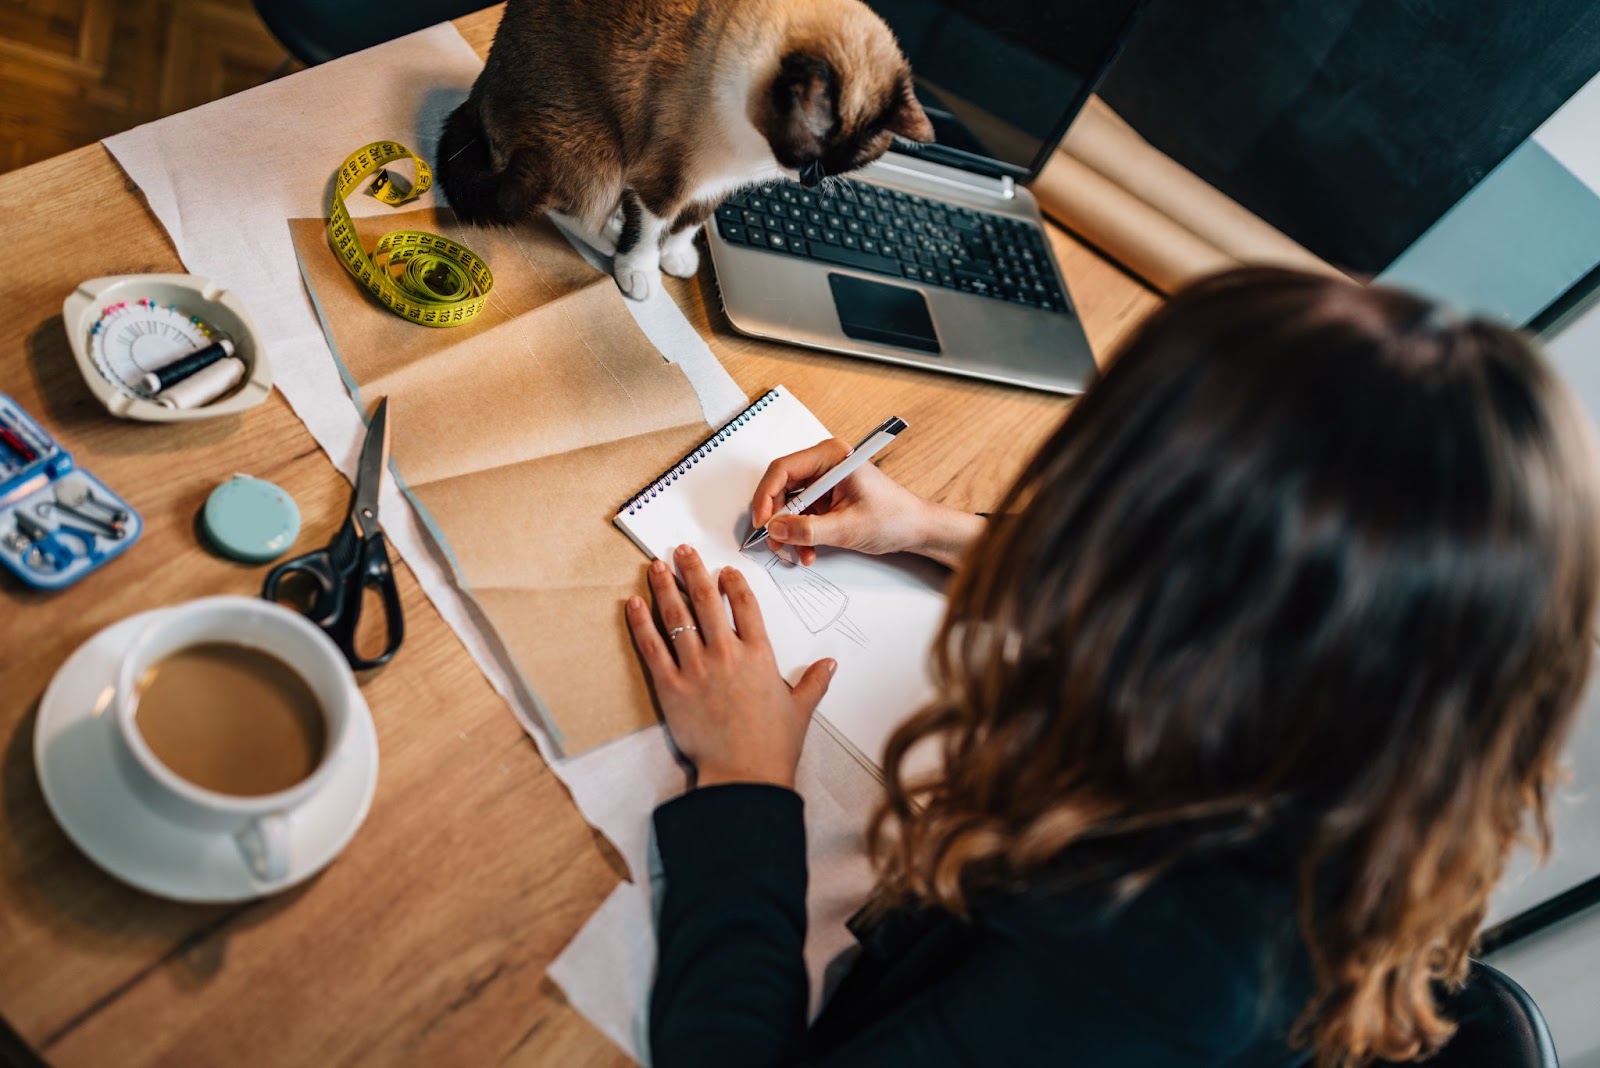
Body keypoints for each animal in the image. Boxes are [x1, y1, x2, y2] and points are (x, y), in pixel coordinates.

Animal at [438, 0, 934, 298]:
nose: (809, 180)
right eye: (808, 158)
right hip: (598, 152)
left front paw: (676, 257)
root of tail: (479, 91)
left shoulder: (718, 184)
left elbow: (690, 223)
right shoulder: (664, 177)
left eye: (840, 166)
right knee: (558, 206)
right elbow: (649, 229)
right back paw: (611, 238)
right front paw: (640, 269)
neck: (749, 149)